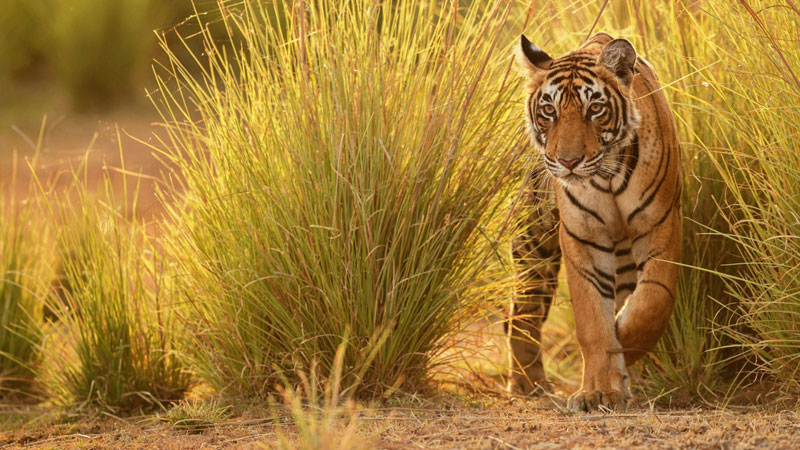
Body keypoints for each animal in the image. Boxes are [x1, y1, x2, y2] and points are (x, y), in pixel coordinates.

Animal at [510, 32, 680, 412]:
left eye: (595, 109)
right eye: (549, 111)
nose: (568, 161)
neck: (607, 176)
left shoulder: (659, 225)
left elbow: (651, 303)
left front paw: (623, 348)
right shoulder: (583, 237)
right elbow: (592, 319)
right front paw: (599, 391)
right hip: (533, 244)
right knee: (522, 313)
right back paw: (529, 385)